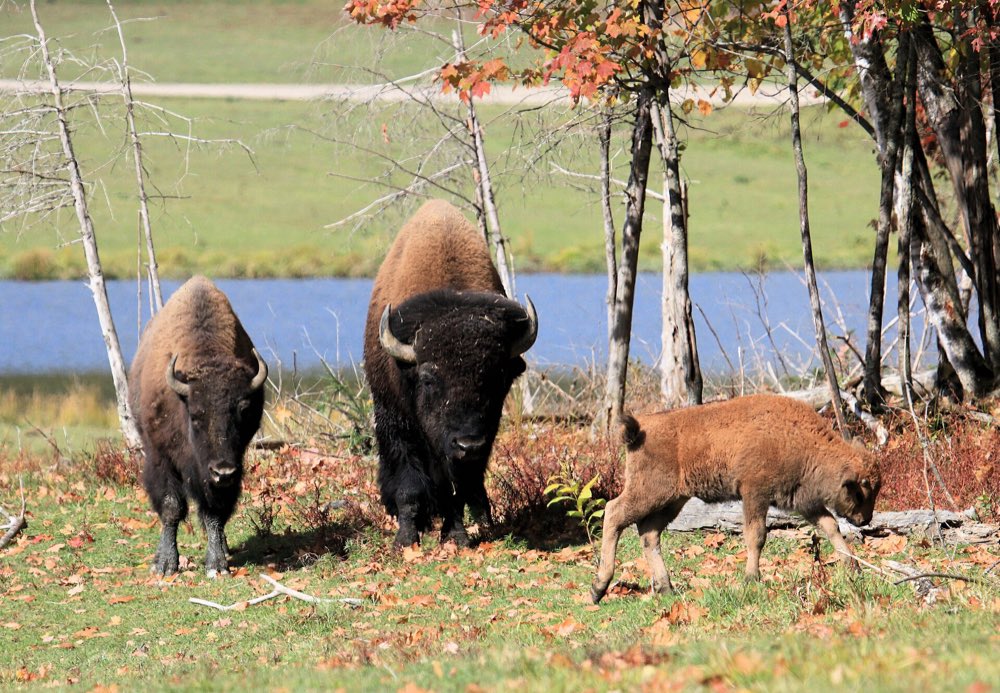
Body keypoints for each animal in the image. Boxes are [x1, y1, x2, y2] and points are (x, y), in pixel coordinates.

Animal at [128, 275, 267, 576]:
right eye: (195, 414)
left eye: (243, 411)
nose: (223, 471)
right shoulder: (161, 458)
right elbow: (171, 507)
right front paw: (165, 565)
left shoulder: (227, 471)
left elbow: (214, 513)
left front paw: (217, 565)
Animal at [363, 199, 538, 547]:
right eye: (429, 379)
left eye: (497, 378)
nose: (468, 444)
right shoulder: (398, 422)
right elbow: (409, 485)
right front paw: (406, 539)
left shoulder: (479, 439)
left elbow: (457, 488)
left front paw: (457, 535)